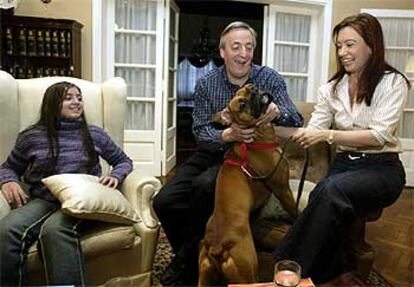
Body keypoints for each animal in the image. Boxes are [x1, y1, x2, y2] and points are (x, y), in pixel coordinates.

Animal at [198, 84, 298, 286]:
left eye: (247, 88)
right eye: (242, 104)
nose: (253, 89)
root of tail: (217, 245)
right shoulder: (283, 189)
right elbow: (295, 210)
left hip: (204, 274)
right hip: (248, 273)